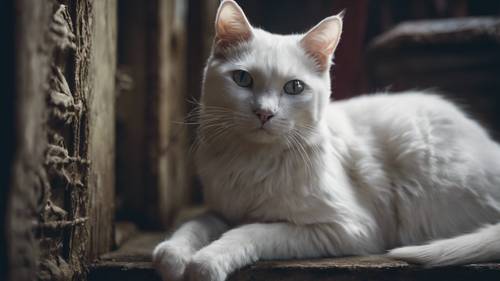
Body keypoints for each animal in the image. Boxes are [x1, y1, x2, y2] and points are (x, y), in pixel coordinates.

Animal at [151, 1, 500, 278]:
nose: (264, 113)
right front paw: (174, 255)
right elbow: (195, 225)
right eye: (242, 79)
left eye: (294, 87)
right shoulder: (222, 209)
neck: (252, 160)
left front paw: (205, 262)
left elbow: (250, 231)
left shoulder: (347, 229)